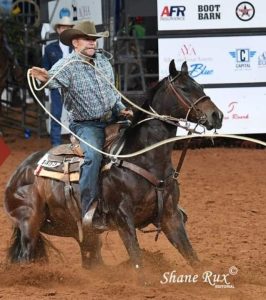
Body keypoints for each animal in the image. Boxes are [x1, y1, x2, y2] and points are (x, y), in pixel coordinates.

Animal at [4, 60, 224, 270]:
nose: (217, 115)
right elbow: (138, 262)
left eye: (200, 86)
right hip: (30, 222)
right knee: (25, 257)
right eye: (184, 88)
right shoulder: (123, 218)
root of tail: (20, 171)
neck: (144, 157)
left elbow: (193, 258)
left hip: (78, 230)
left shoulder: (171, 217)